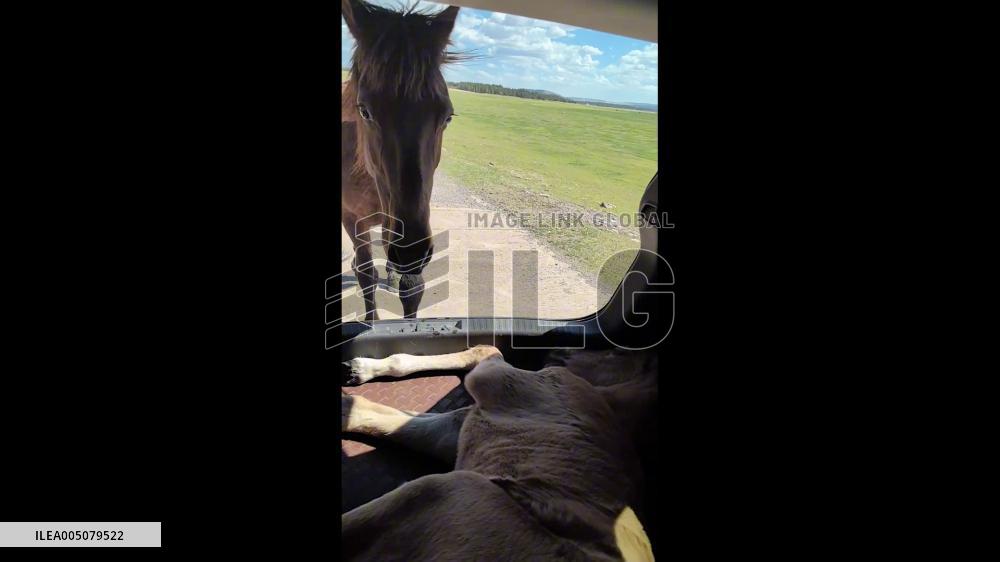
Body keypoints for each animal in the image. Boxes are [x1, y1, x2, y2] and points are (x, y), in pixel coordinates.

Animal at [341, 0, 461, 320]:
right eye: (365, 111)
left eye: (448, 116)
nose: (410, 251)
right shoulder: (352, 219)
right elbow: (365, 274)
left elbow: (412, 287)